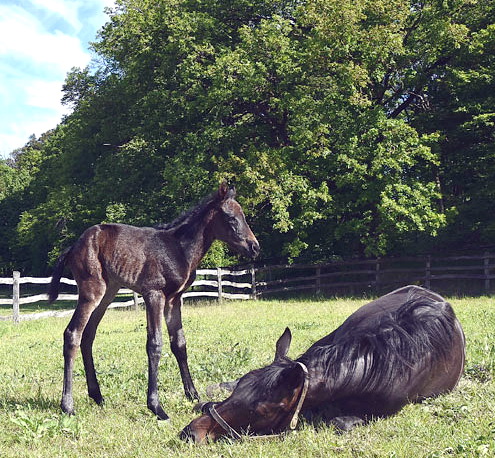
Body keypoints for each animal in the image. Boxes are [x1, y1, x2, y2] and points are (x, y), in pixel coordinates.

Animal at [49, 182, 262, 418]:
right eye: (231, 218)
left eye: (243, 216)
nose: (254, 247)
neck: (179, 248)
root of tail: (72, 247)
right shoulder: (154, 294)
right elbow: (155, 344)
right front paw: (156, 406)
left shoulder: (174, 299)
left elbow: (179, 344)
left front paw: (193, 395)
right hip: (91, 290)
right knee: (72, 334)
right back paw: (68, 405)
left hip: (108, 292)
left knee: (88, 335)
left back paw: (97, 396)